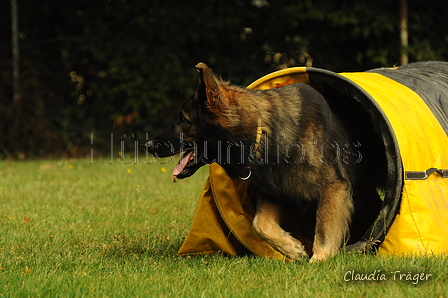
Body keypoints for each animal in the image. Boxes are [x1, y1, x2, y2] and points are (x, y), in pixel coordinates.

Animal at [146, 62, 382, 260]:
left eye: (184, 121)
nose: (148, 145)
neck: (264, 134)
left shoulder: (333, 187)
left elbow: (323, 229)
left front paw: (319, 259)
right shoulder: (275, 191)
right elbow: (259, 224)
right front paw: (292, 248)